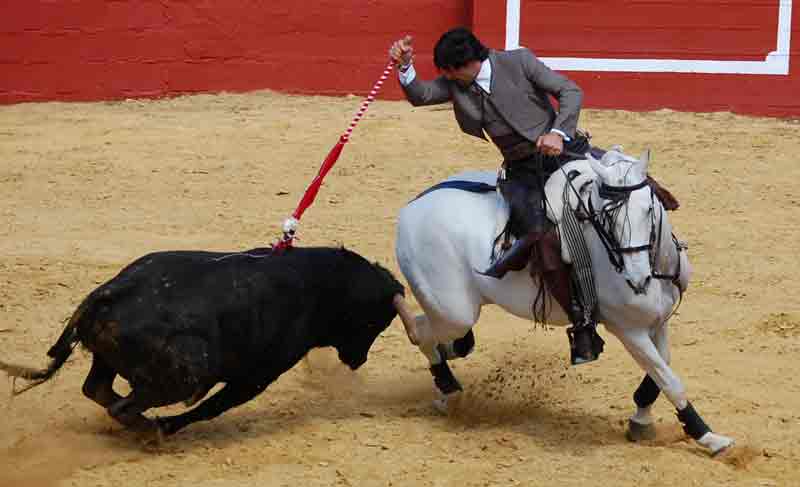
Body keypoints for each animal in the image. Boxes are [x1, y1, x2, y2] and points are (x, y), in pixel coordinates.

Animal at [0, 248, 410, 434]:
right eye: (375, 323)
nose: (358, 361)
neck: (321, 286)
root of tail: (107, 294)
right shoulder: (256, 377)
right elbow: (213, 407)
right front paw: (170, 425)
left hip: (113, 360)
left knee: (98, 389)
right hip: (186, 373)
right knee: (123, 404)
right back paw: (152, 429)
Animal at [390, 151, 736, 456]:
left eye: (649, 210)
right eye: (606, 218)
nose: (637, 279)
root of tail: (411, 208)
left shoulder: (658, 322)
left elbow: (659, 372)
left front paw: (640, 420)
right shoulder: (629, 331)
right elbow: (669, 379)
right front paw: (708, 437)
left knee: (444, 337)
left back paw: (447, 385)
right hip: (455, 311)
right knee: (423, 332)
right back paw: (447, 387)